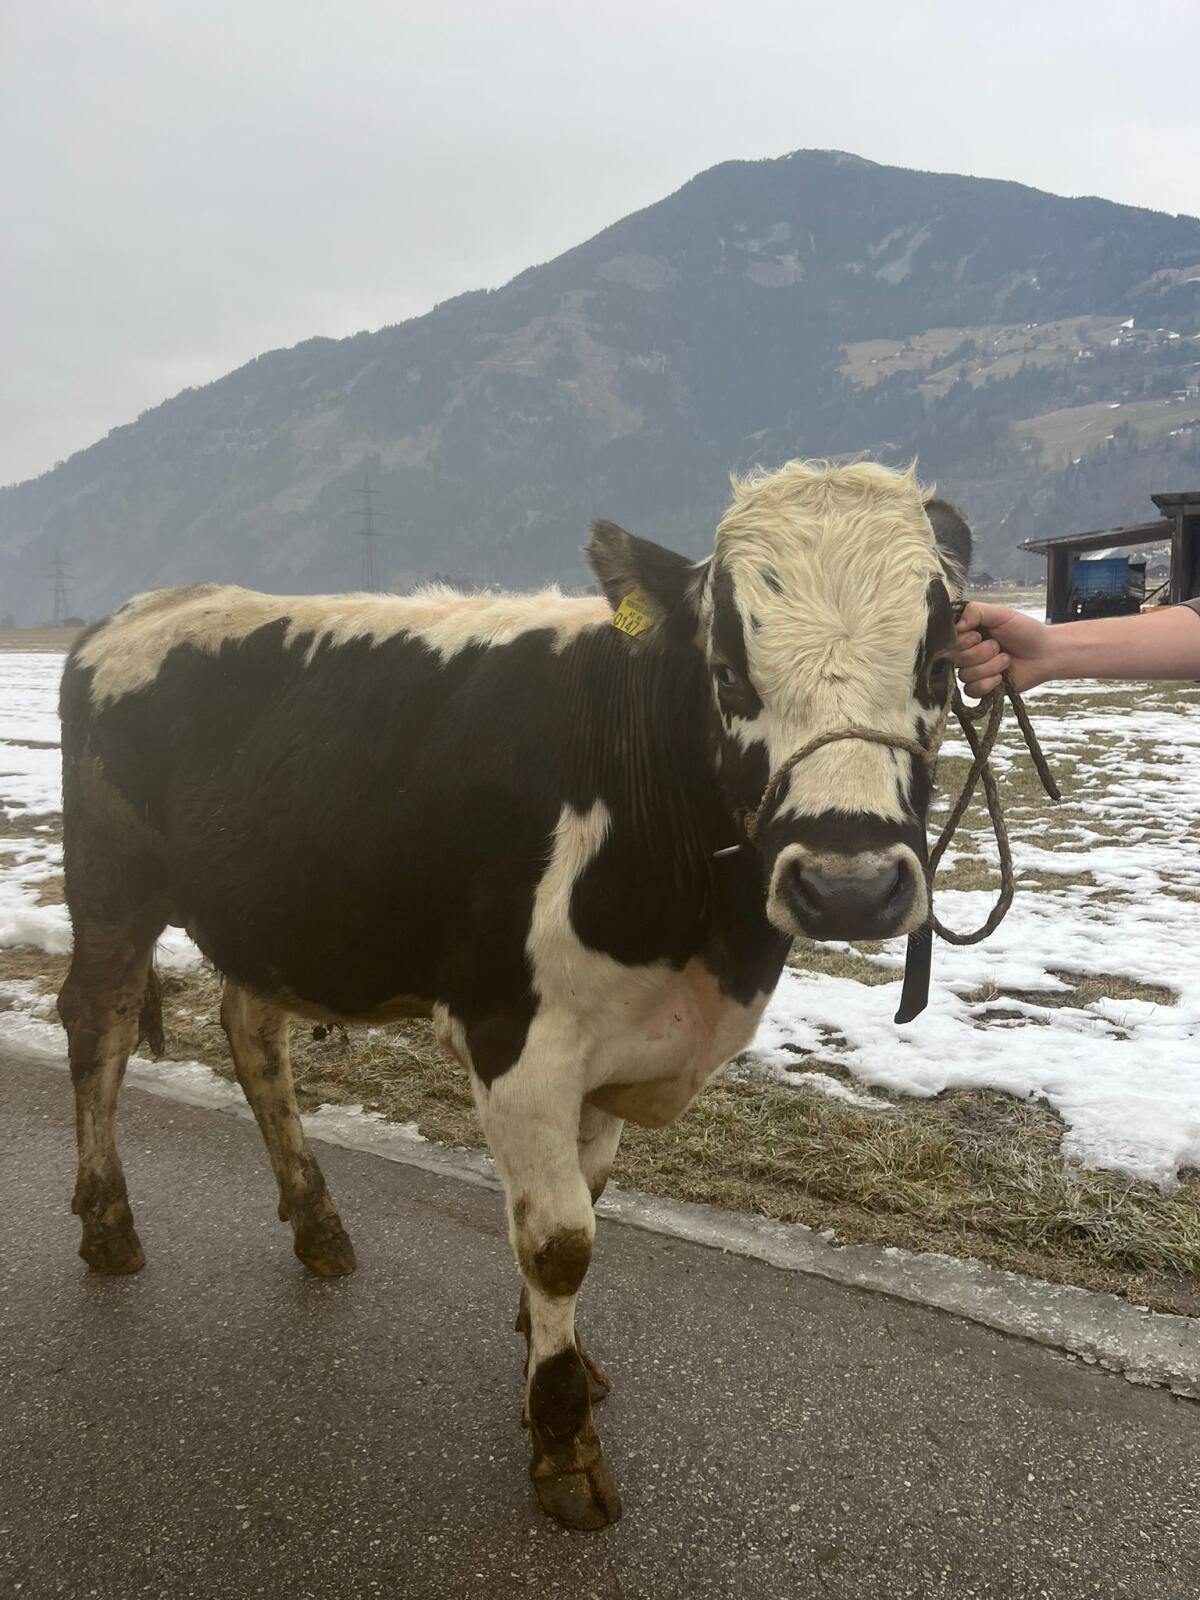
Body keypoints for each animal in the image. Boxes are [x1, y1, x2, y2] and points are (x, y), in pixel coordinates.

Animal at [57, 459, 969, 1531]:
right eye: (728, 674)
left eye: (937, 665)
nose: (850, 887)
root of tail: (146, 605)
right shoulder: (518, 1041)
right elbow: (561, 1239)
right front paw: (563, 1439)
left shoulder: (621, 1041)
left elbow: (588, 1196)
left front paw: (550, 1355)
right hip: (112, 888)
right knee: (99, 1026)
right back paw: (109, 1227)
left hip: (277, 913)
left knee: (252, 1034)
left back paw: (319, 1225)